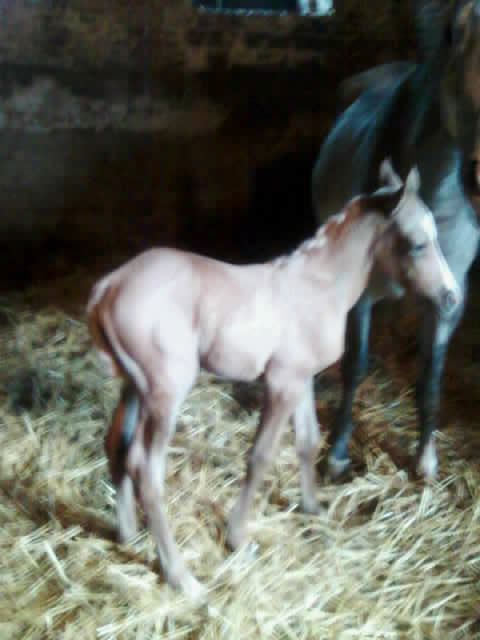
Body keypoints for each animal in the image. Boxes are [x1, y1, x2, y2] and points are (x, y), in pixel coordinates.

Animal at [87, 159, 462, 600]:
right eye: (418, 243)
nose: (452, 297)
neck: (319, 288)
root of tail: (109, 286)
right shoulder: (281, 382)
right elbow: (261, 456)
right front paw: (237, 538)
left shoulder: (301, 377)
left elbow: (308, 441)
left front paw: (313, 508)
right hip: (166, 391)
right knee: (146, 469)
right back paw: (181, 576)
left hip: (135, 386)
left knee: (118, 446)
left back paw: (127, 533)